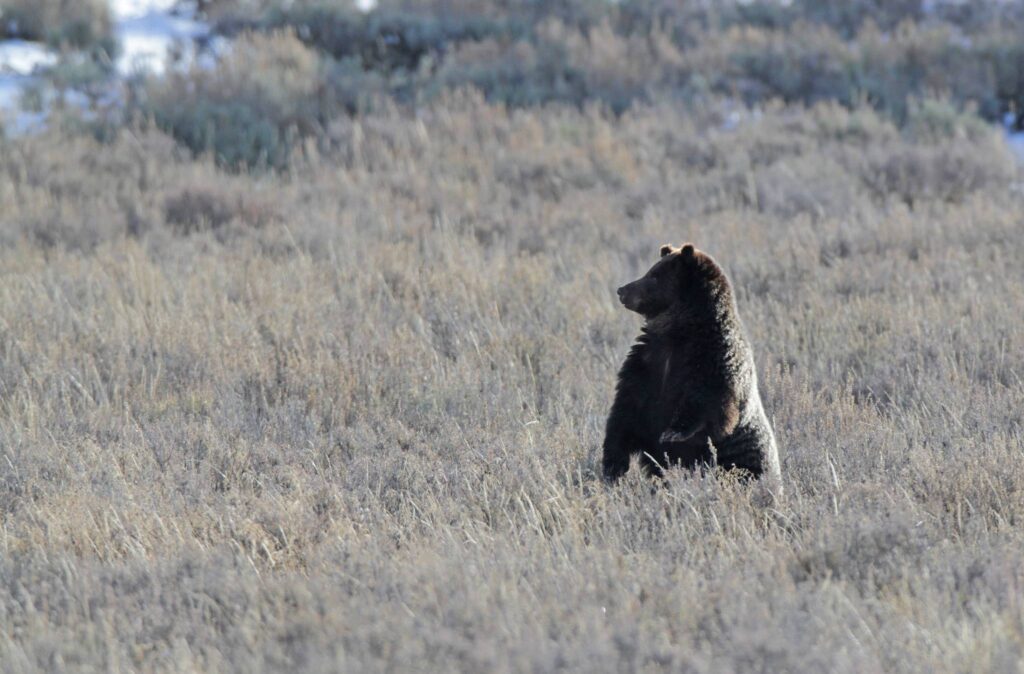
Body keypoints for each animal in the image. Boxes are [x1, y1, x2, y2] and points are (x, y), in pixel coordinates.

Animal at [602, 242, 778, 483]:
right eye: (651, 270)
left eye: (654, 276)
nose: (622, 290)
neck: (679, 332)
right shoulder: (647, 363)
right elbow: (625, 412)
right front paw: (613, 466)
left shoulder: (712, 361)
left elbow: (706, 402)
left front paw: (673, 432)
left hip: (744, 461)